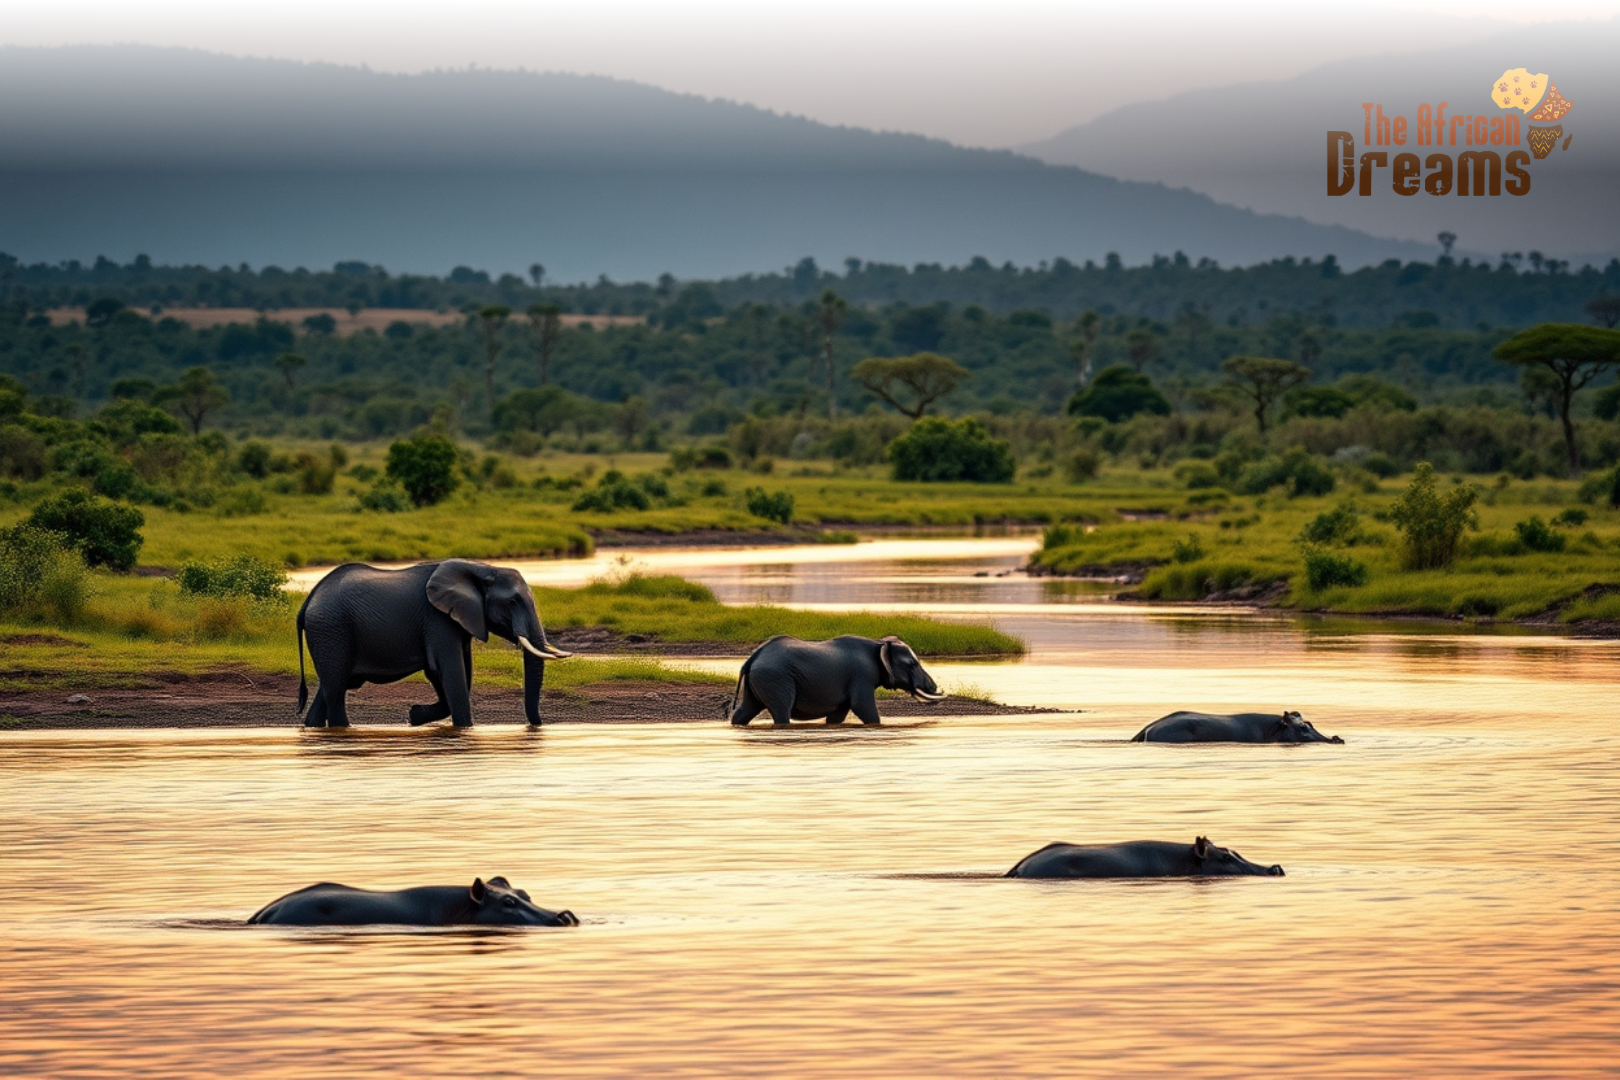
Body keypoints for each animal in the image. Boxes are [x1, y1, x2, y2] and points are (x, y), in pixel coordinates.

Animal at [296, 559, 572, 728]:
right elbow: (448, 671)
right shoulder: (438, 620)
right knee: (335, 689)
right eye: (512, 602)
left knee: (330, 686)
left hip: (329, 634)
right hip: (332, 629)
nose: (535, 725)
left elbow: (456, 673)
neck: (481, 569)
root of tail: (309, 599)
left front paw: (415, 715)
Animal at [727, 634, 945, 726]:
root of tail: (752, 658)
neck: (878, 644)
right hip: (775, 679)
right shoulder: (861, 676)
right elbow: (863, 707)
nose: (936, 687)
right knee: (781, 712)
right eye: (912, 664)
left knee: (746, 710)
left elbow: (837, 716)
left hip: (760, 680)